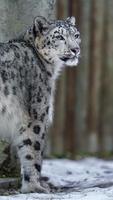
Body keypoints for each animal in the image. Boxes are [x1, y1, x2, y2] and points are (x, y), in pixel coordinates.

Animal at [0, 16, 80, 192]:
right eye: (59, 37)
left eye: (76, 35)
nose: (75, 50)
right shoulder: (37, 114)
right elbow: (32, 151)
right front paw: (35, 187)